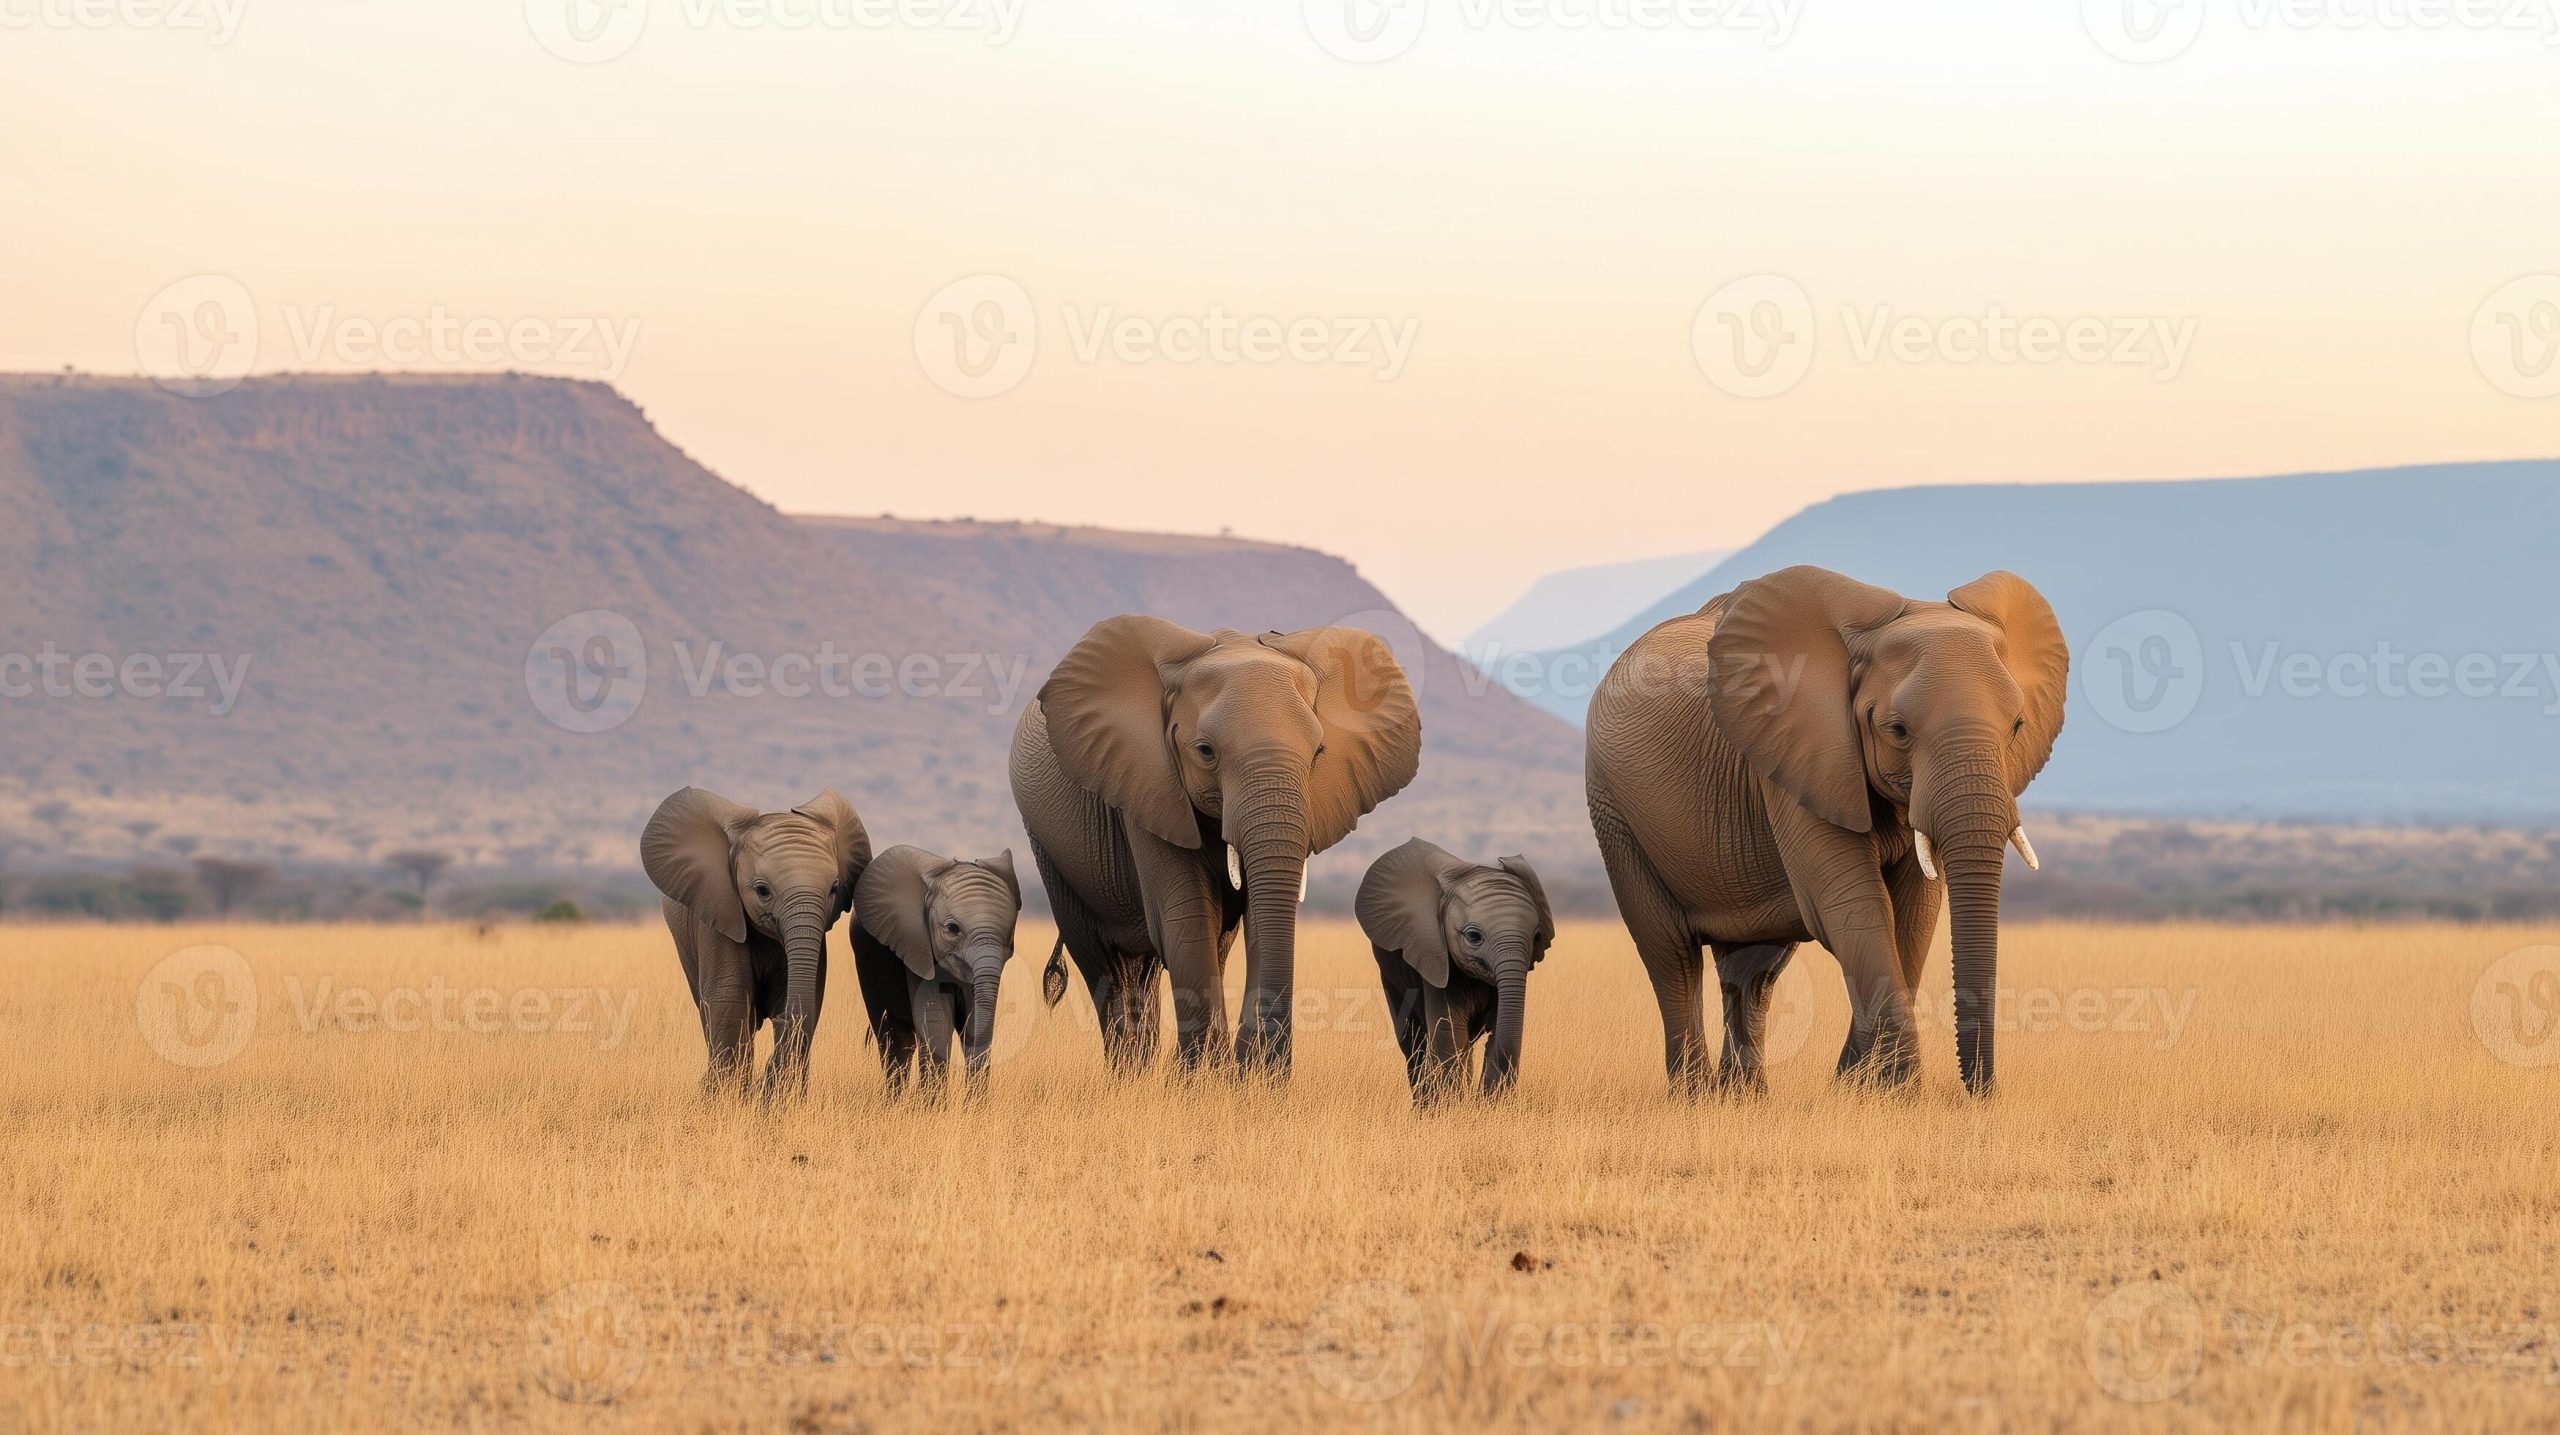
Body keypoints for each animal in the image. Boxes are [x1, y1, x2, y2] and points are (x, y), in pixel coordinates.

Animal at [642, 786, 871, 1100]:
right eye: (762, 890)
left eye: (834, 889)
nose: (766, 1081)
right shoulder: (719, 913)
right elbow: (729, 1000)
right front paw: (728, 1100)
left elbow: (800, 999)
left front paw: (776, 1098)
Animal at [850, 845, 1023, 1097]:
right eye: (952, 929)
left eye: (1009, 933)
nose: (971, 1102)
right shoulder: (916, 945)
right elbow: (936, 1021)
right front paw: (932, 1105)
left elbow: (975, 1021)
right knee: (894, 1037)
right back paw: (894, 1101)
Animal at [1012, 616, 1423, 1078]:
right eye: (1205, 751)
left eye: (1319, 752)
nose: (1259, 1059)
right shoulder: (1147, 782)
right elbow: (1187, 913)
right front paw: (1203, 1080)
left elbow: (1256, 913)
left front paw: (1244, 1077)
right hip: (1049, 850)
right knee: (1104, 963)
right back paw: (1128, 1075)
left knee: (1162, 964)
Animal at [1354, 838, 1554, 1104]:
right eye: (1473, 936)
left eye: (1537, 937)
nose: (1481, 1100)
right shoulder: (1434, 957)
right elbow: (1449, 1030)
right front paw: (1447, 1108)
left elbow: (1498, 1028)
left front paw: (1487, 1106)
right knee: (1413, 1040)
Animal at [1583, 566, 2066, 1096]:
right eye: (1897, 730)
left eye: (2017, 725)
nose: (1981, 1095)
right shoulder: (1795, 758)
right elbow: (1852, 906)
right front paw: (1898, 1094)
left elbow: (1913, 915)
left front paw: (1858, 1090)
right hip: (1614, 811)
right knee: (1671, 955)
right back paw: (1694, 1098)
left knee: (1754, 969)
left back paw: (1743, 1098)